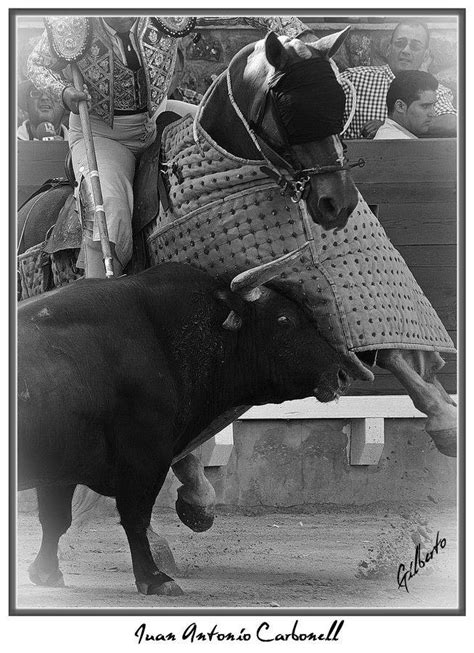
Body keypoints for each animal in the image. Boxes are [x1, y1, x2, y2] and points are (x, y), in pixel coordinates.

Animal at [18, 262, 350, 596]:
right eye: (284, 319)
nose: (340, 374)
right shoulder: (145, 459)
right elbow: (135, 518)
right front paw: (155, 578)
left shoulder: (61, 467)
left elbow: (56, 519)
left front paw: (46, 573)